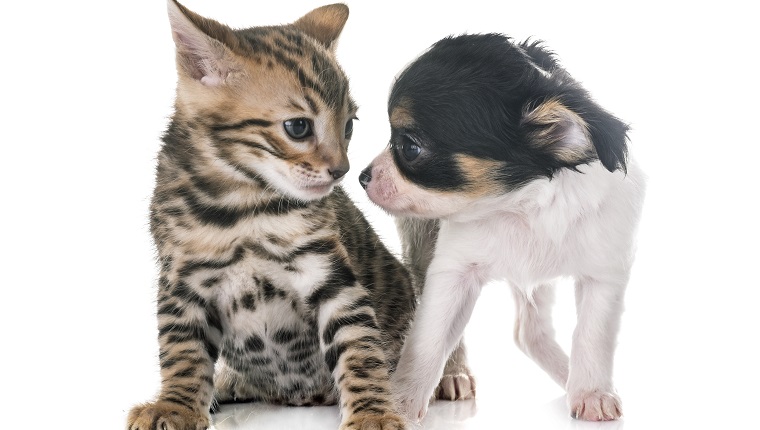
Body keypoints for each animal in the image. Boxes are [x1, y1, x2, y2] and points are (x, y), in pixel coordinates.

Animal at [127, 1, 424, 428]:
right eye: (298, 127)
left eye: (348, 127)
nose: (343, 171)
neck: (245, 207)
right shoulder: (182, 282)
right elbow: (182, 349)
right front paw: (176, 405)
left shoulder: (331, 278)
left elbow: (359, 347)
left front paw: (373, 413)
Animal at [360, 34, 644, 424]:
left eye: (409, 147)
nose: (363, 177)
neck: (517, 206)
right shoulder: (453, 272)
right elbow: (428, 339)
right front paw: (401, 402)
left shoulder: (603, 274)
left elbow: (592, 336)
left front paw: (591, 393)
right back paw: (455, 374)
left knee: (531, 332)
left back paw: (569, 378)